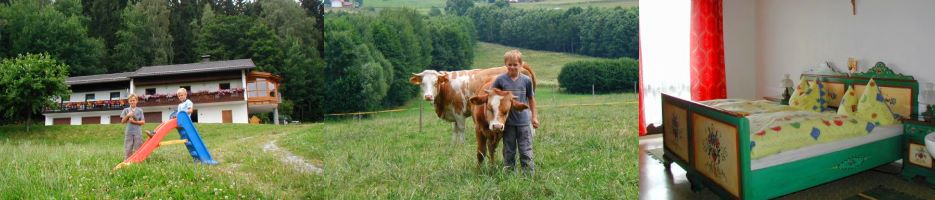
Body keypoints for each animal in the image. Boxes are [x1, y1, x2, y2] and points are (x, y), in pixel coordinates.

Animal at [406, 63, 536, 143]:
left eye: (435, 83)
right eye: (422, 83)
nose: (428, 96)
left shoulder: (459, 111)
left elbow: (461, 128)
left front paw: (462, 144)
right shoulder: (452, 112)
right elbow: (454, 129)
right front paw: (453, 145)